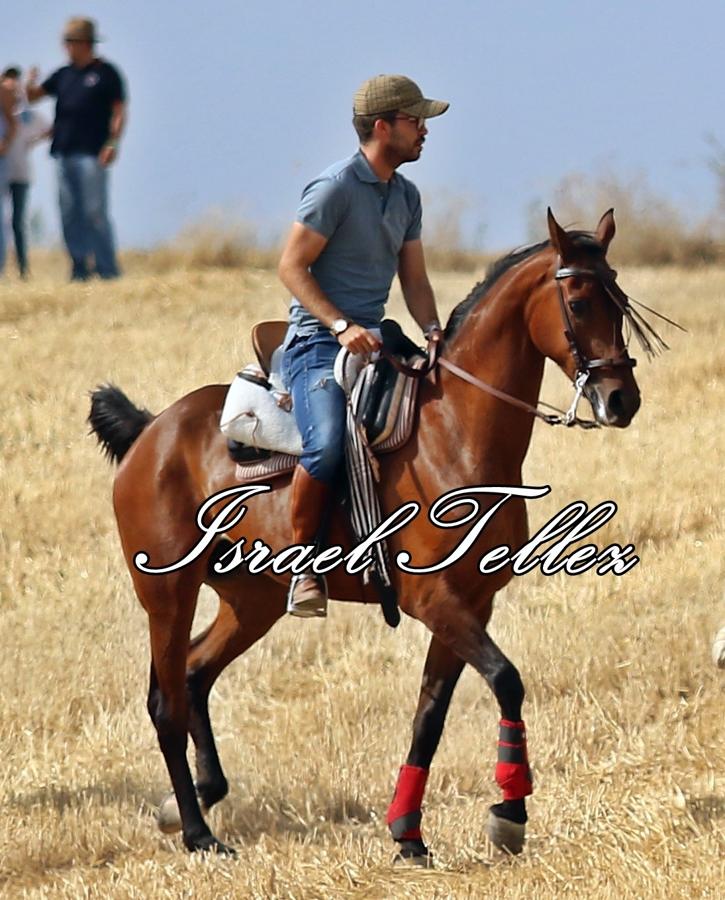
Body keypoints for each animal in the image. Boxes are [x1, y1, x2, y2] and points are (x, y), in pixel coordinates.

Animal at [87, 211, 648, 864]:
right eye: (579, 301)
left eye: (620, 299)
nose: (622, 399)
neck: (452, 434)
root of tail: (152, 430)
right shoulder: (434, 600)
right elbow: (507, 679)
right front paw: (508, 814)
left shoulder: (471, 602)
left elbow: (430, 714)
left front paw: (408, 832)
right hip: (168, 594)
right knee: (167, 702)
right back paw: (200, 832)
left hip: (251, 601)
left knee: (196, 674)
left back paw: (193, 800)